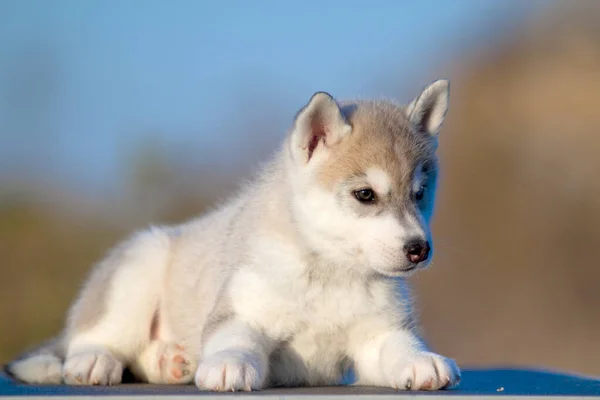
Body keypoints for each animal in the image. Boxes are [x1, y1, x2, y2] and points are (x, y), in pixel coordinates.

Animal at [7, 80, 460, 390]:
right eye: (365, 195)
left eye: (420, 193)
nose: (419, 249)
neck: (328, 273)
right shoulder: (239, 312)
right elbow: (233, 341)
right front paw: (229, 364)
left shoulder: (376, 335)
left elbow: (400, 345)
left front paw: (422, 360)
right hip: (136, 270)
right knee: (92, 336)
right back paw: (94, 360)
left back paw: (171, 362)